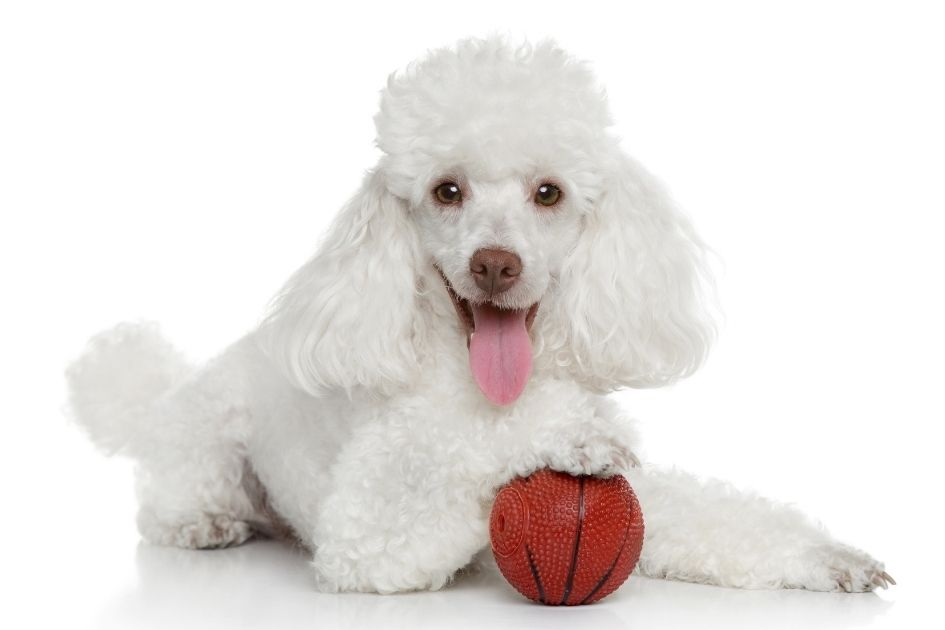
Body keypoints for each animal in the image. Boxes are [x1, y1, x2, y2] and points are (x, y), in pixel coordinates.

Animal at [66, 37, 892, 596]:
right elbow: (462, 457)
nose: (496, 265)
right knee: (168, 502)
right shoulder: (369, 534)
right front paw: (567, 440)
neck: (485, 388)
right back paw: (203, 524)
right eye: (447, 190)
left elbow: (710, 514)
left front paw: (824, 556)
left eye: (548, 193)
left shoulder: (644, 499)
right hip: (205, 447)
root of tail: (166, 397)